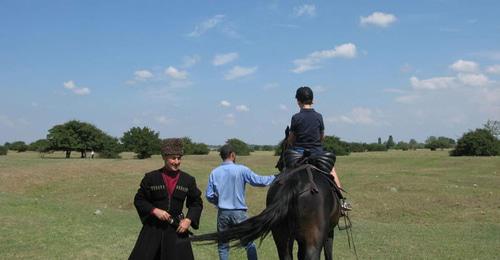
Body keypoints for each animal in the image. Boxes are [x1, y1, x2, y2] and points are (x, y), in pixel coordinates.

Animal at [190, 127, 340, 258]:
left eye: (283, 145)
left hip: (281, 234)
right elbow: (328, 254)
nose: (278, 165)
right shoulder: (329, 233)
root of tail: (296, 181)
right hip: (312, 238)